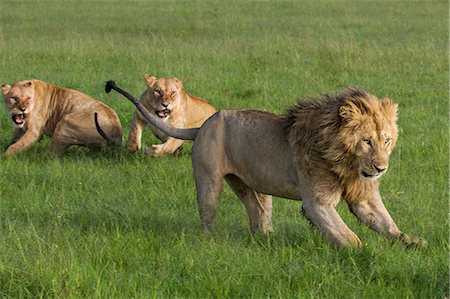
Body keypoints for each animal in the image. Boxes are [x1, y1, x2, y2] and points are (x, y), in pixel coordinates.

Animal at [105, 81, 426, 250]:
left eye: (386, 140)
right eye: (367, 142)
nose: (381, 168)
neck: (344, 161)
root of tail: (203, 125)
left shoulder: (364, 196)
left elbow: (387, 224)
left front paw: (413, 242)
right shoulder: (317, 202)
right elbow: (349, 236)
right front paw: (364, 252)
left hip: (254, 188)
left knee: (258, 214)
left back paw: (268, 239)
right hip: (209, 182)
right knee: (207, 214)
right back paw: (210, 240)